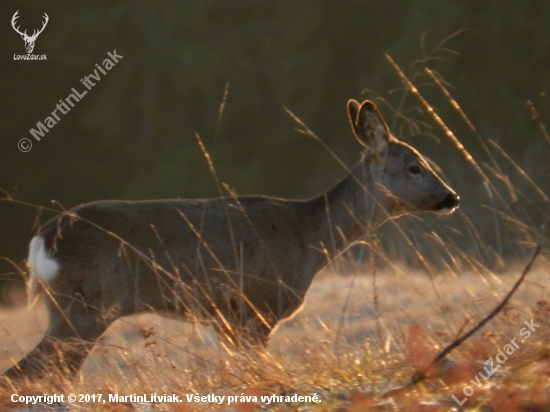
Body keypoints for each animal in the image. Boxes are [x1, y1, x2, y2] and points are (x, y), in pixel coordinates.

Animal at [2, 100, 460, 384]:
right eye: (416, 167)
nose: (452, 197)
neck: (310, 238)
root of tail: (42, 239)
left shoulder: (227, 319)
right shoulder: (259, 307)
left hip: (71, 306)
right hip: (86, 304)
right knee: (31, 373)